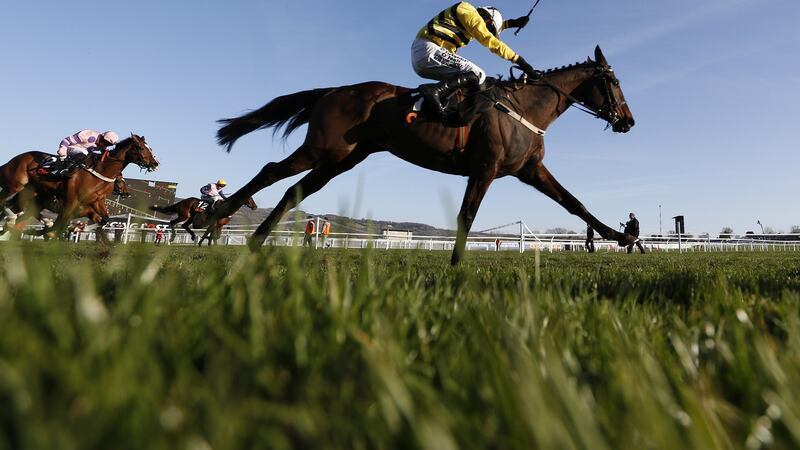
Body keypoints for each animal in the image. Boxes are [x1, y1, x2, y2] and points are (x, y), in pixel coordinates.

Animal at [214, 45, 636, 264]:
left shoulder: (530, 169)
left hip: (342, 159)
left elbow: (575, 204)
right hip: (324, 147)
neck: (525, 108)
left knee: (294, 190)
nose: (628, 121)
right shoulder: (485, 167)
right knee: (272, 170)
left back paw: (254, 241)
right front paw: (456, 266)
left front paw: (621, 236)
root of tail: (333, 91)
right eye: (614, 81)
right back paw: (217, 213)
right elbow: (466, 216)